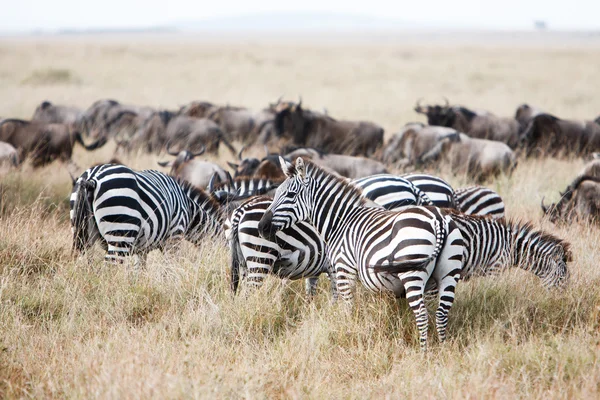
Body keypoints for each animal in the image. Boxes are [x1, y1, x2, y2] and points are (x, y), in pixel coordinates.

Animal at [70, 164, 224, 264]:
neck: (188, 208)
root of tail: (91, 179)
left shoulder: (141, 249)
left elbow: (141, 270)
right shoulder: (174, 237)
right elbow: (169, 267)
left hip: (82, 233)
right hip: (120, 232)